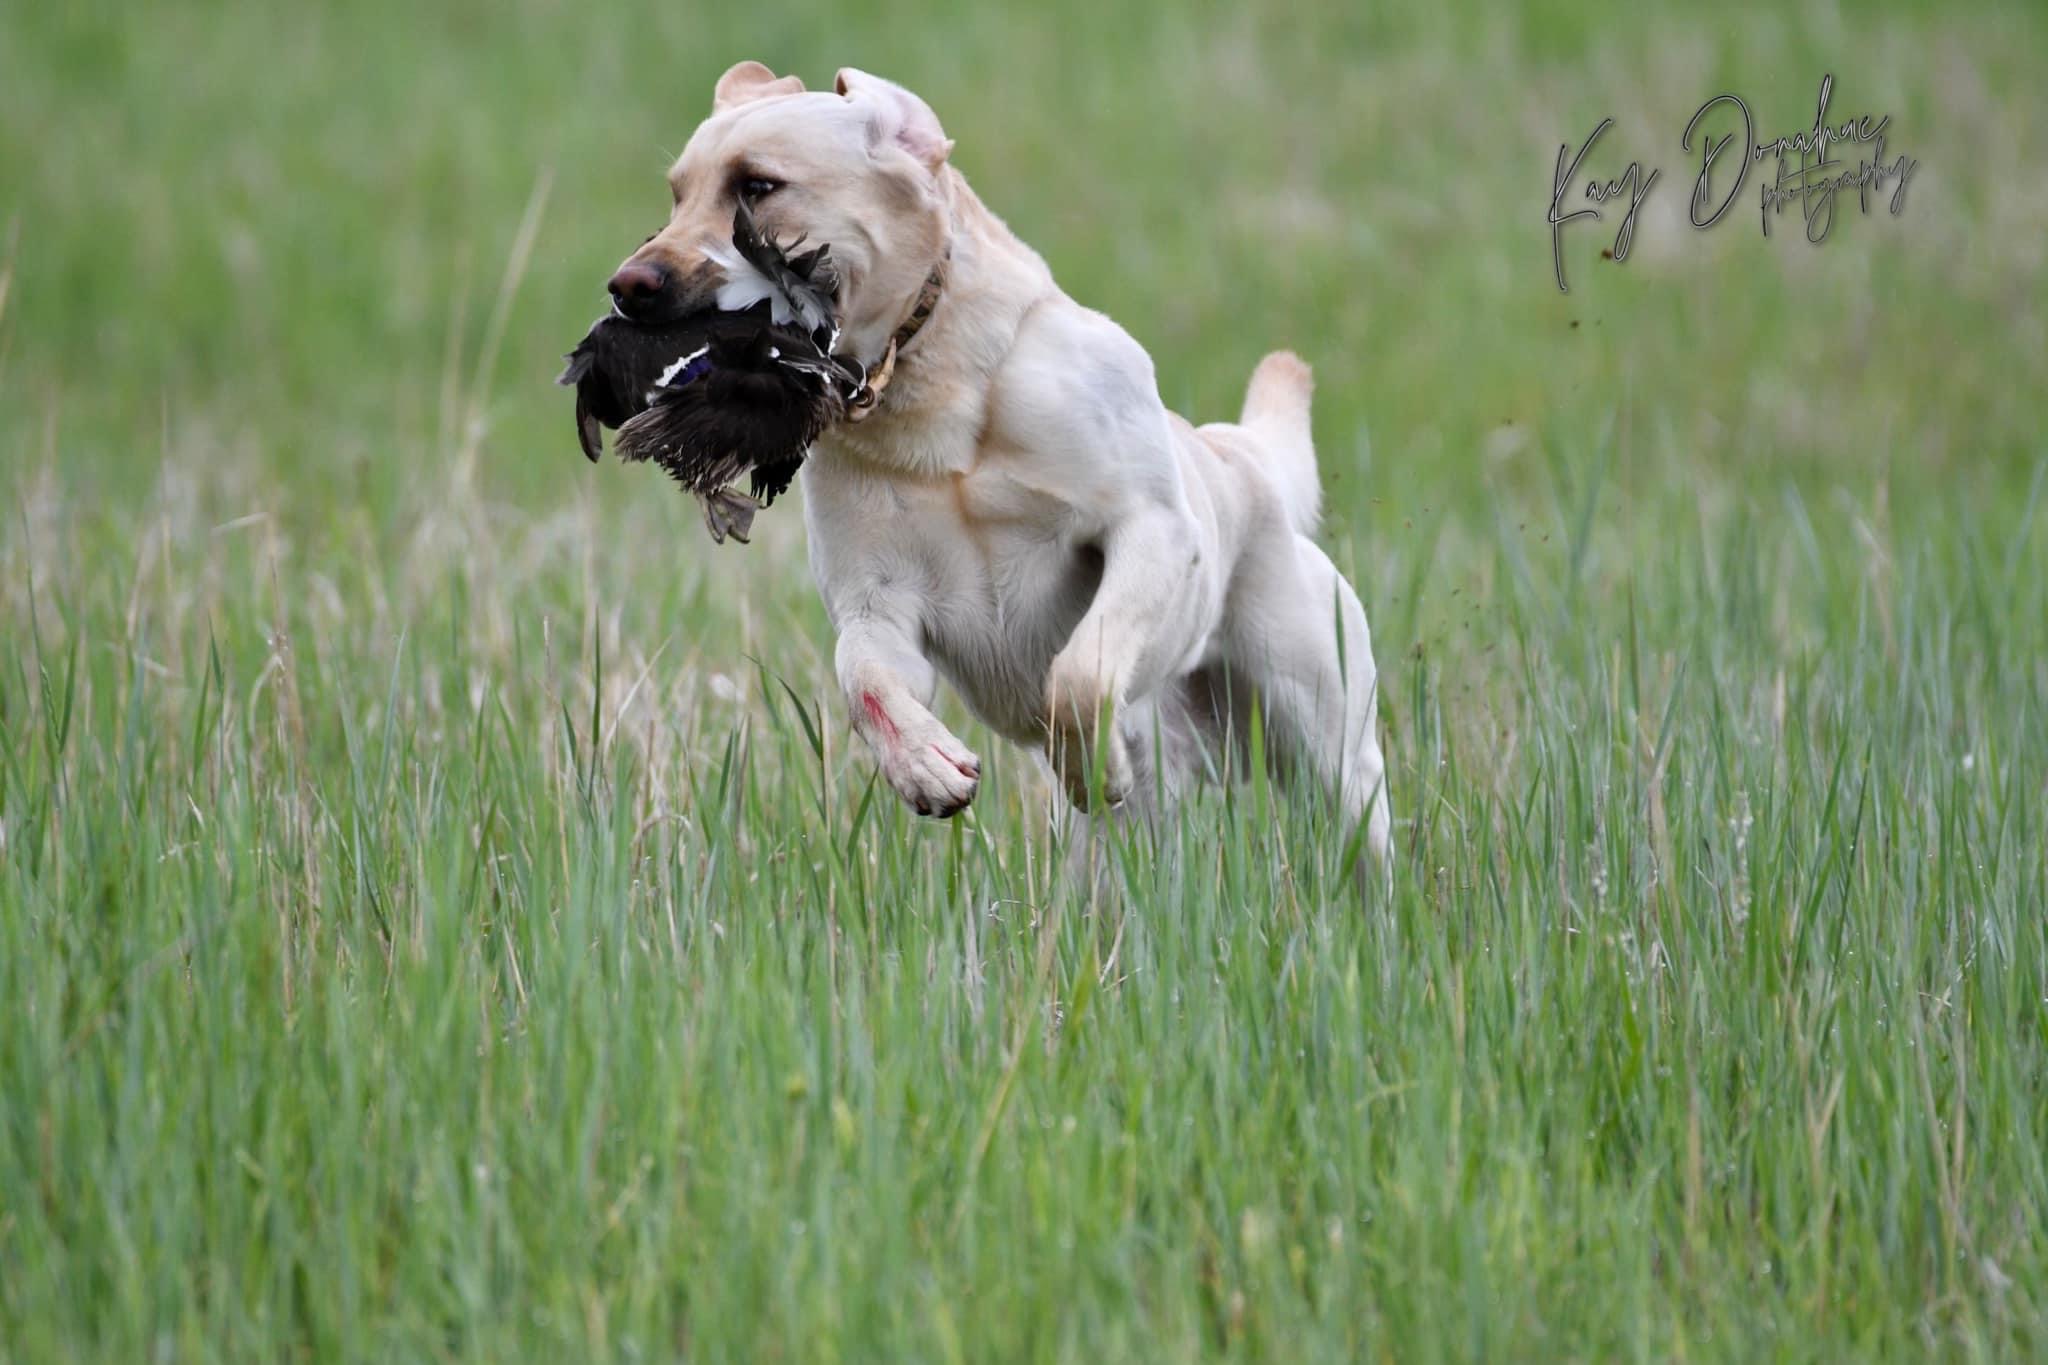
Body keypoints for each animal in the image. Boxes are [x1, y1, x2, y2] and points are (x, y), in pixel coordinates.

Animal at [606, 61, 1392, 863]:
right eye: (677, 192)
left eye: (759, 185)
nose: (628, 285)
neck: (934, 398)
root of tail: (1245, 456)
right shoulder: (876, 599)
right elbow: (863, 679)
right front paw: (926, 766)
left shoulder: (1152, 531)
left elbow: (1080, 671)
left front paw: (1089, 761)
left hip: (1333, 756)